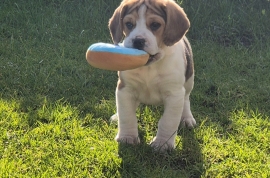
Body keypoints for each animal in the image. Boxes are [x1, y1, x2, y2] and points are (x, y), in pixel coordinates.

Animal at [108, 0, 195, 150]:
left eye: (155, 25)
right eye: (129, 24)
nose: (138, 40)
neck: (149, 67)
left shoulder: (174, 94)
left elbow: (168, 121)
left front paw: (163, 144)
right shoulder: (125, 89)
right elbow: (127, 115)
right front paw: (127, 137)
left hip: (189, 81)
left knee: (186, 99)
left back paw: (187, 118)